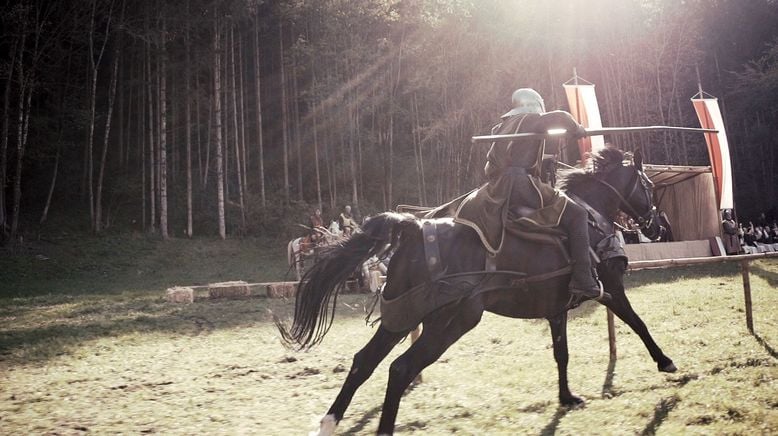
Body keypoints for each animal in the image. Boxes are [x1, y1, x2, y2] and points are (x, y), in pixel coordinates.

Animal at [278, 147, 672, 436]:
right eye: (648, 186)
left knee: (364, 361)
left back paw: (329, 422)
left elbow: (562, 353)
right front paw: (666, 362)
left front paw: (567, 396)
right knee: (400, 369)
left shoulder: (556, 308)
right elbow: (638, 323)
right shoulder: (609, 289)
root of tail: (414, 227)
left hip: (402, 317)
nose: (658, 226)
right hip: (450, 322)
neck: (592, 216)